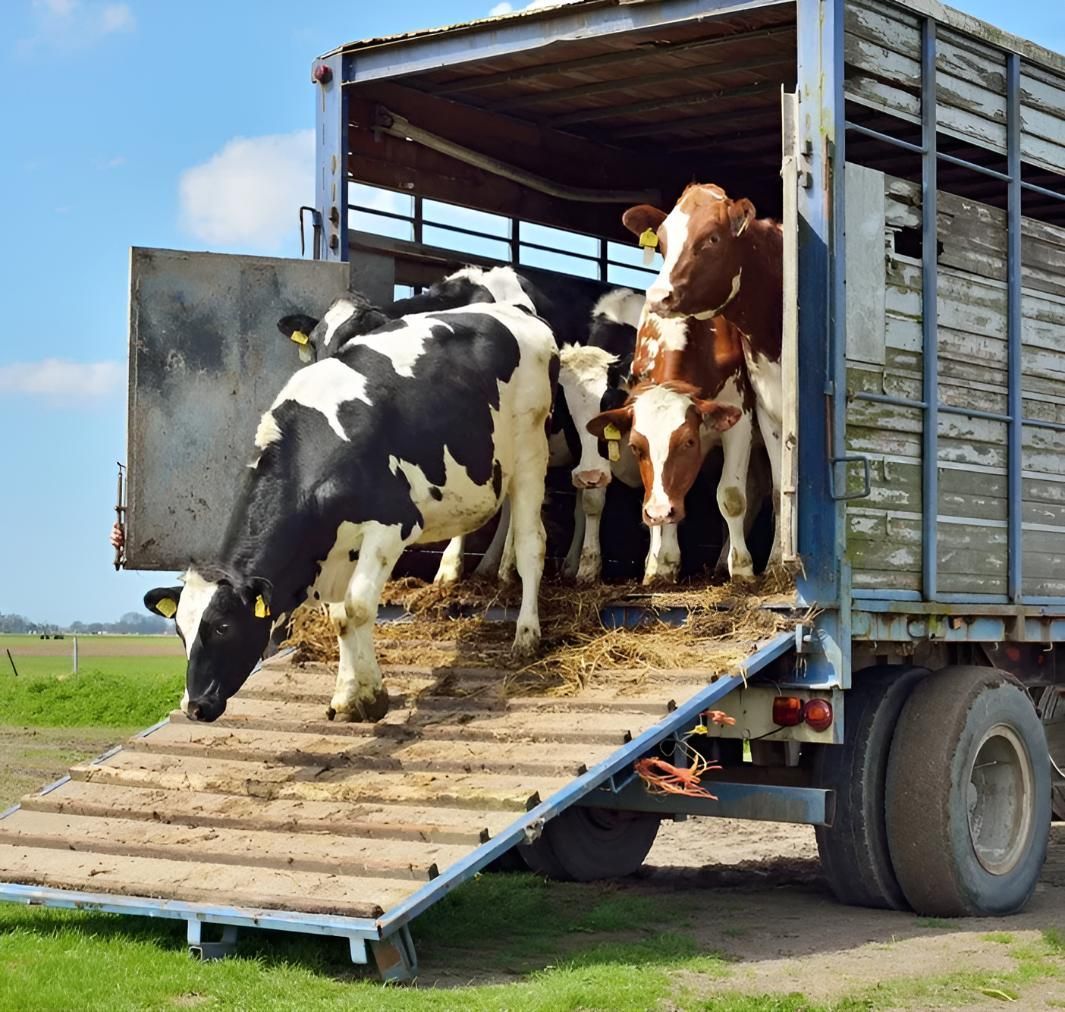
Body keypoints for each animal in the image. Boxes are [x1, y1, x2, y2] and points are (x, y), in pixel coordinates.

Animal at [145, 289, 557, 724]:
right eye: (180, 631)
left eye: (223, 626)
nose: (194, 706)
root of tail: (516, 312)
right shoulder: (335, 547)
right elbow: (340, 617)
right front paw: (346, 695)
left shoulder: (391, 525)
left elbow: (358, 607)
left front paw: (374, 695)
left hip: (532, 450)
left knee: (532, 543)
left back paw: (526, 635)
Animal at [587, 311, 756, 583]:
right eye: (635, 447)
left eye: (688, 441)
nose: (658, 511)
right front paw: (661, 563)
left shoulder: (739, 418)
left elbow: (732, 497)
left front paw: (742, 567)